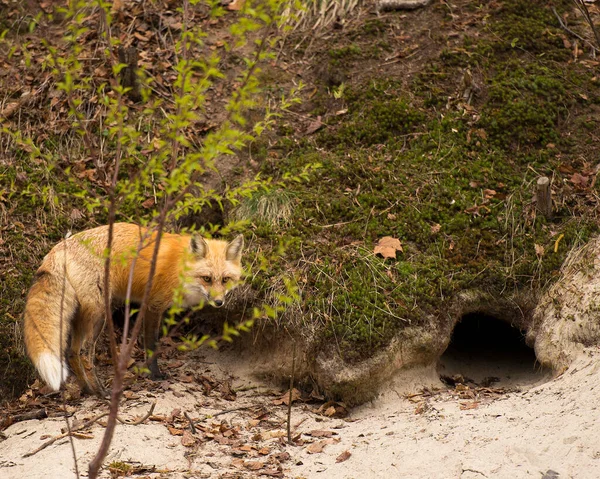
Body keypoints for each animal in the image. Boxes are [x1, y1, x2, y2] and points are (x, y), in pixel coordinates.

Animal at [23, 223, 244, 396]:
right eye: (207, 278)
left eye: (225, 279)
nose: (219, 302)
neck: (180, 266)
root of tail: (59, 248)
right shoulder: (153, 305)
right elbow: (151, 344)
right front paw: (155, 375)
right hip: (99, 315)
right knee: (85, 353)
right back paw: (101, 391)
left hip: (81, 316)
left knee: (71, 353)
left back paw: (87, 390)